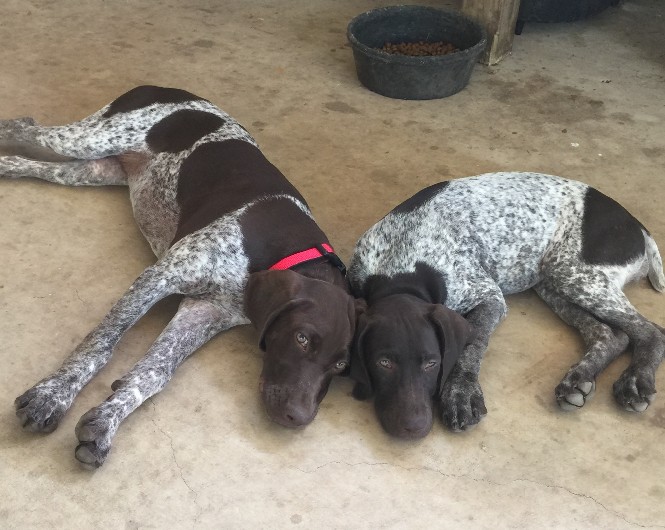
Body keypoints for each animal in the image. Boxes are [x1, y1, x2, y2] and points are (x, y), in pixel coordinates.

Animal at [1, 86, 364, 466]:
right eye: (302, 338)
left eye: (340, 365)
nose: (299, 418)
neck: (286, 254)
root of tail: (163, 87)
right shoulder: (162, 275)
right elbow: (101, 344)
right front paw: (52, 395)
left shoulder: (205, 313)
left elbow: (155, 372)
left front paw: (106, 422)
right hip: (88, 139)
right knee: (26, 126)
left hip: (94, 170)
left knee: (41, 166)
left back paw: (6, 165)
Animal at [348, 172, 664, 438]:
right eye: (383, 363)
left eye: (431, 364)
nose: (413, 427)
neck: (397, 271)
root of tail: (638, 226)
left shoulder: (488, 296)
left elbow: (471, 345)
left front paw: (460, 394)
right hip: (554, 282)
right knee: (611, 335)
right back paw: (579, 378)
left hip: (577, 274)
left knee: (651, 331)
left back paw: (636, 380)